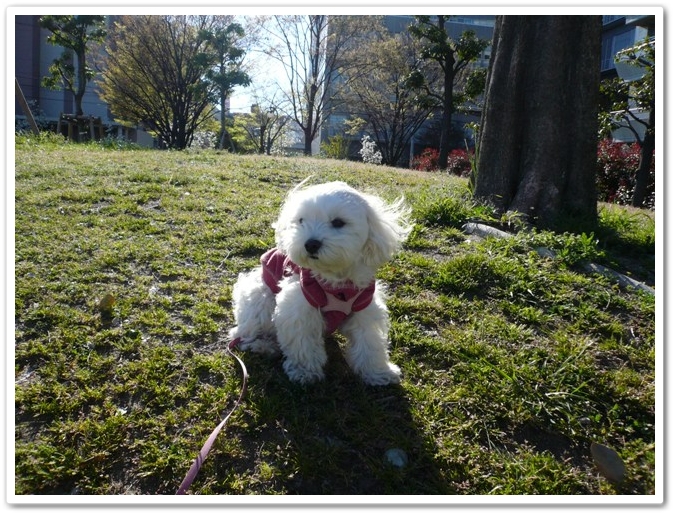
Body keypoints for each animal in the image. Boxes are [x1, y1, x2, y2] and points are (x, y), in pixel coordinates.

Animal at [228, 180, 412, 385]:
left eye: (338, 222)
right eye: (301, 221)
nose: (311, 244)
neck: (335, 281)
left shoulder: (364, 308)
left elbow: (370, 343)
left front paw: (379, 372)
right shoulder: (300, 308)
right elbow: (302, 344)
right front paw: (304, 372)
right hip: (260, 299)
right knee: (244, 333)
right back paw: (264, 346)